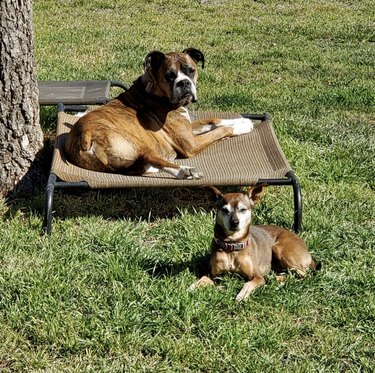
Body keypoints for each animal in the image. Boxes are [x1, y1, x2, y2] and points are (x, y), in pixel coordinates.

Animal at [64, 48, 254, 179]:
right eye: (170, 75)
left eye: (191, 70)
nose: (184, 83)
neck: (154, 91)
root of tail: (84, 135)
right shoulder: (191, 145)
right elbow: (221, 131)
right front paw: (241, 128)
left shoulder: (188, 128)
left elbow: (215, 120)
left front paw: (243, 121)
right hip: (136, 143)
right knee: (152, 158)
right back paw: (185, 171)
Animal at [191, 185, 320, 300]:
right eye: (225, 210)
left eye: (243, 209)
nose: (234, 222)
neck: (232, 246)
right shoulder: (212, 274)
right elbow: (203, 279)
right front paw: (193, 286)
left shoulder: (257, 277)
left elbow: (248, 283)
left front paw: (242, 294)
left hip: (279, 249)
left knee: (304, 275)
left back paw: (277, 278)